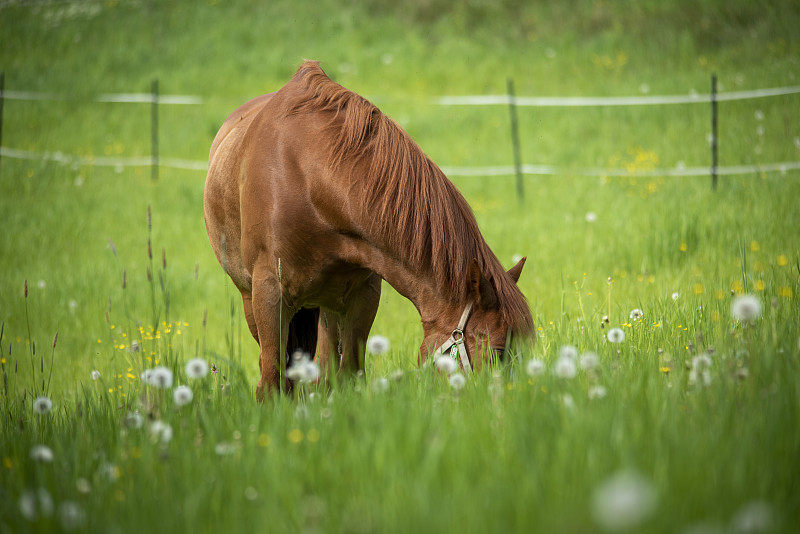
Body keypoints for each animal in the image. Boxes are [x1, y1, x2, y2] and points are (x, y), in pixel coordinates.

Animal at [203, 60, 536, 400]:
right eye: (497, 352)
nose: (511, 400)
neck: (310, 182)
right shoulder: (269, 296)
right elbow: (271, 382)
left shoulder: (363, 296)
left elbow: (346, 375)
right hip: (251, 300)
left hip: (327, 306)